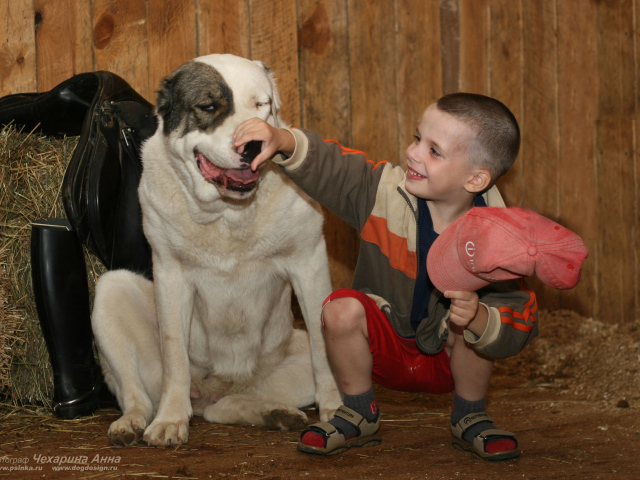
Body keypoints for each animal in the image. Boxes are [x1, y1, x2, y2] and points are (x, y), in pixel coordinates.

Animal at [91, 54, 341, 447]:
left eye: (261, 105)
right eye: (209, 107)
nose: (253, 145)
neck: (228, 215)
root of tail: (215, 389)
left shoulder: (309, 262)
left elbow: (322, 347)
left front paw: (336, 410)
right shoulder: (171, 273)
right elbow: (174, 352)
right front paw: (170, 420)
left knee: (226, 405)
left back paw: (274, 413)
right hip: (110, 290)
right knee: (138, 395)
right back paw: (131, 422)